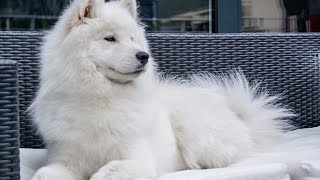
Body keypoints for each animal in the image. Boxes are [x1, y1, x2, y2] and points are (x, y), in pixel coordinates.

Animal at [30, 0, 292, 180]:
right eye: (109, 39)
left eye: (133, 39)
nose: (143, 56)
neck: (101, 97)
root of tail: (237, 116)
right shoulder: (65, 158)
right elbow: (43, 174)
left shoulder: (137, 158)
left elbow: (108, 171)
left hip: (192, 127)